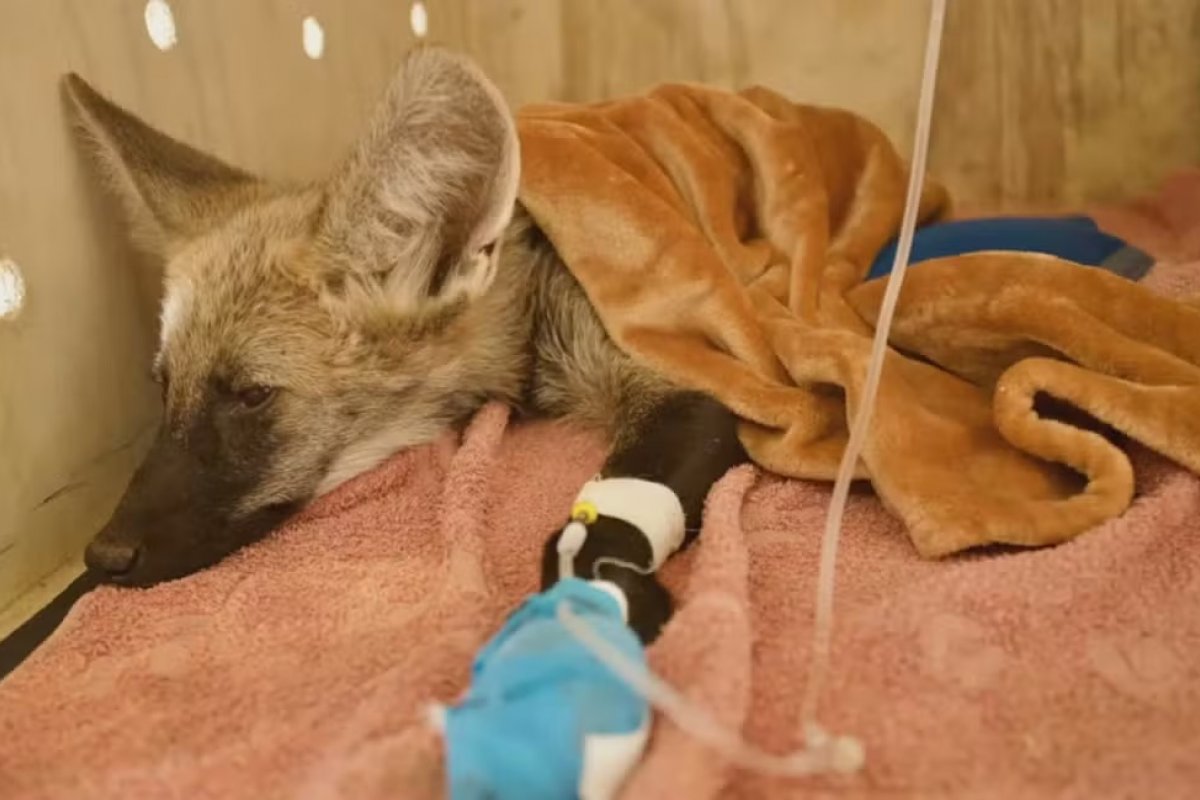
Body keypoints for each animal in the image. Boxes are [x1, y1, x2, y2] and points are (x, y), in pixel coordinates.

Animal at [68, 47, 747, 641]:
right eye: (163, 385)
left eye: (252, 395)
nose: (101, 555)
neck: (534, 315)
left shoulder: (684, 378)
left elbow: (603, 520)